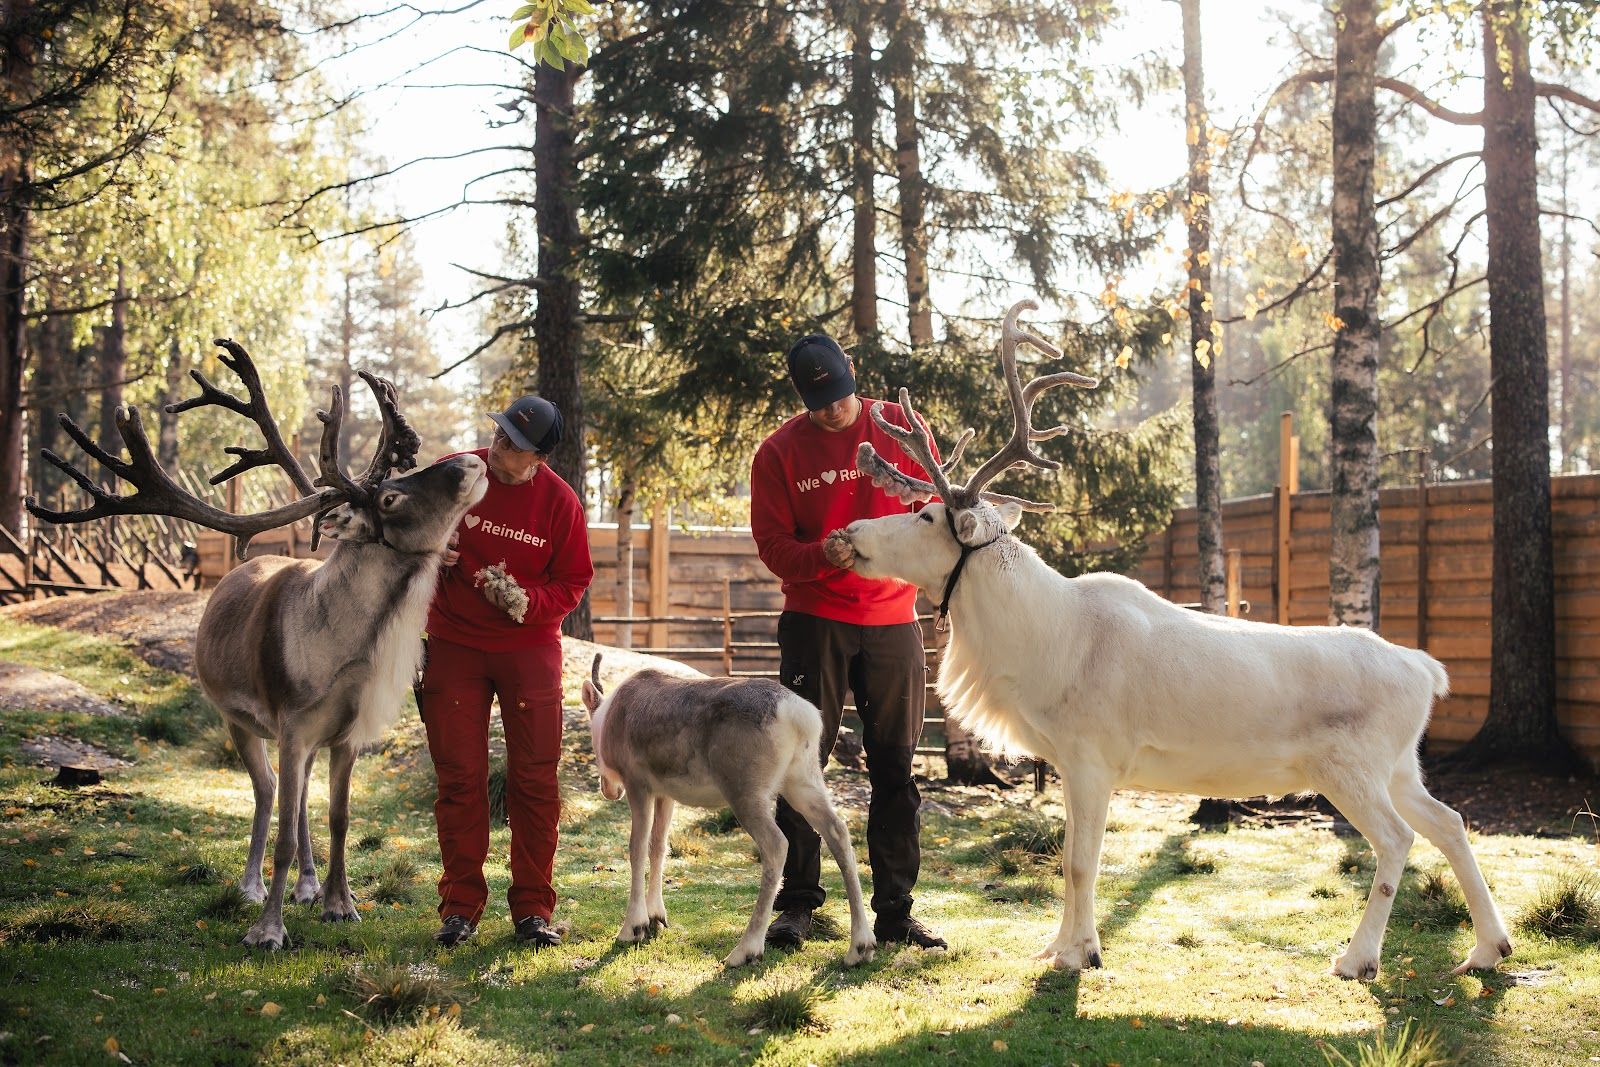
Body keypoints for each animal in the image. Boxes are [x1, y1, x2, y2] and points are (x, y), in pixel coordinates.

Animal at [26, 339, 488, 950]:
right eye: (390, 496)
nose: (474, 463)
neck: (345, 658)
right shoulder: (290, 726)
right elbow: (286, 830)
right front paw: (267, 929)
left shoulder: (342, 736)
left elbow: (340, 819)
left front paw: (341, 904)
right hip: (237, 719)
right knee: (269, 793)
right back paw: (252, 887)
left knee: (299, 801)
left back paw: (309, 888)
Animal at [580, 655, 876, 968]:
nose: (608, 790)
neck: (610, 716)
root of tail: (799, 715)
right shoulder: (665, 794)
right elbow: (658, 847)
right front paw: (656, 918)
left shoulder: (638, 784)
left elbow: (636, 848)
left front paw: (632, 928)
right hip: (802, 780)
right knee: (837, 832)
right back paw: (861, 946)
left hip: (746, 793)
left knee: (776, 844)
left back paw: (746, 950)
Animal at [832, 300, 1512, 981]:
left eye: (925, 515)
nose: (851, 532)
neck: (1037, 644)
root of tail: (1427, 670)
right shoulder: (1069, 762)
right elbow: (1070, 861)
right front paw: (1056, 946)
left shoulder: (1092, 757)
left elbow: (1080, 863)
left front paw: (1081, 954)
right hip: (1400, 764)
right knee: (1451, 822)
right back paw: (1488, 948)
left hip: (1350, 766)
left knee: (1398, 838)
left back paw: (1358, 957)